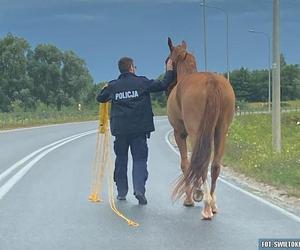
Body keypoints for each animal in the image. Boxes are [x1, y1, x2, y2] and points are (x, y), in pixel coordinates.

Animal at [166, 38, 234, 220]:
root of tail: (212, 81)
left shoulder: (180, 134)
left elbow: (185, 163)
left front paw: (190, 198)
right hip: (221, 131)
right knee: (215, 165)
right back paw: (213, 204)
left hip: (195, 132)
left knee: (201, 164)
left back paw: (206, 206)